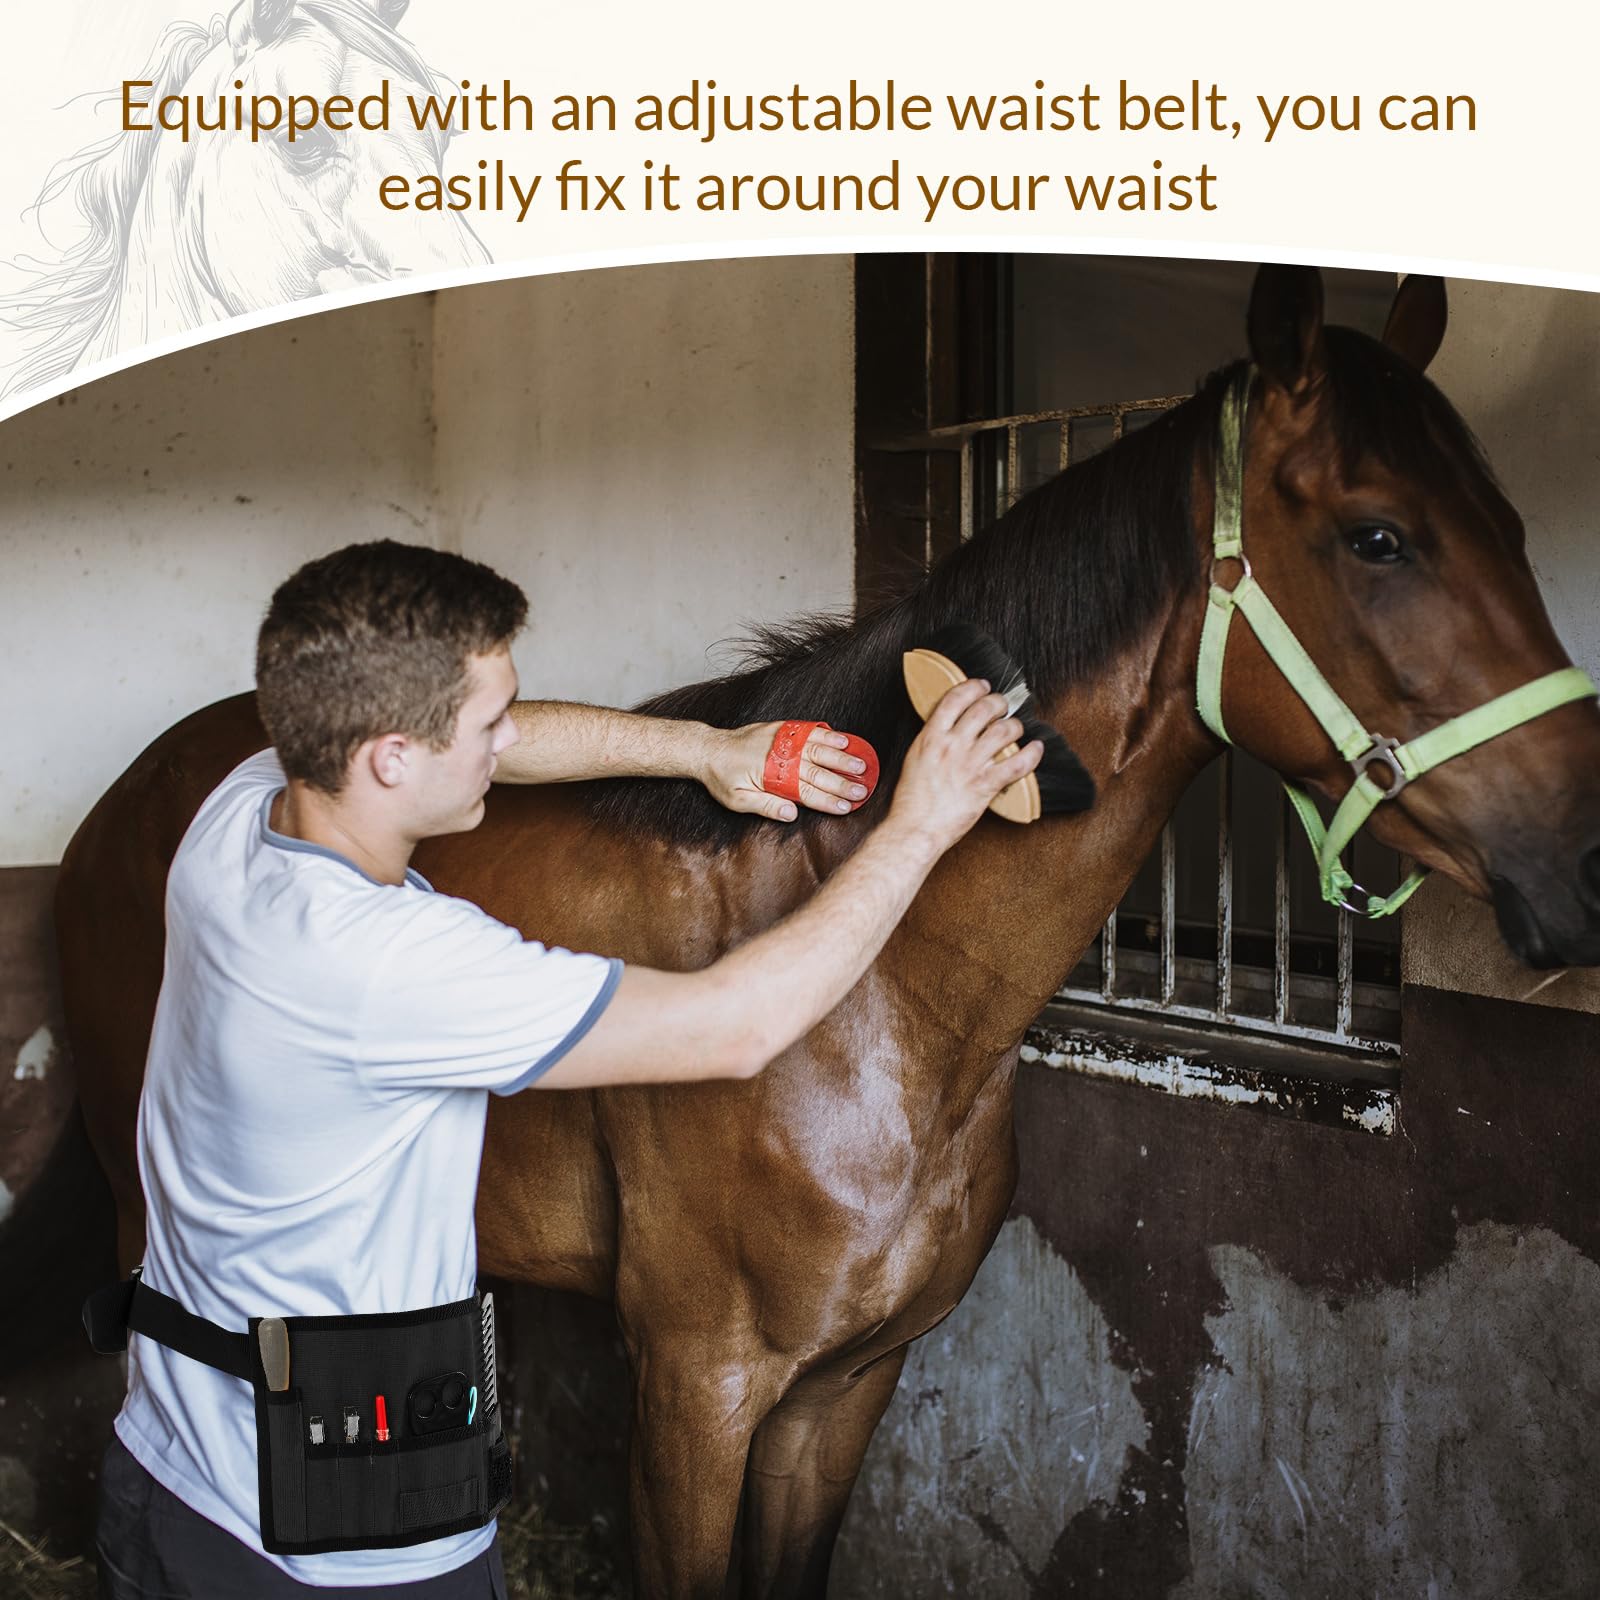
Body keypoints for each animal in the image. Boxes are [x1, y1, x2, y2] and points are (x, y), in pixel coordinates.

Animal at [55, 265, 1600, 1597]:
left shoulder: (845, 1390)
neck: (891, 1008)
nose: (1583, 865)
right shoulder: (696, 1388)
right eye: (1378, 535)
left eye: (1516, 529)